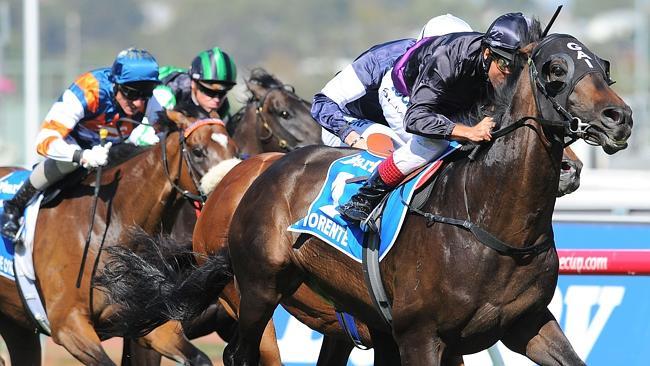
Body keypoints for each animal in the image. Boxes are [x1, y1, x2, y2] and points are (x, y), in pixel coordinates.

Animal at [0, 111, 239, 366]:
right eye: (198, 151)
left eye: (234, 148)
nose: (227, 193)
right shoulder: (68, 325)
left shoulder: (150, 324)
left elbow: (199, 357)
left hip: (17, 324)